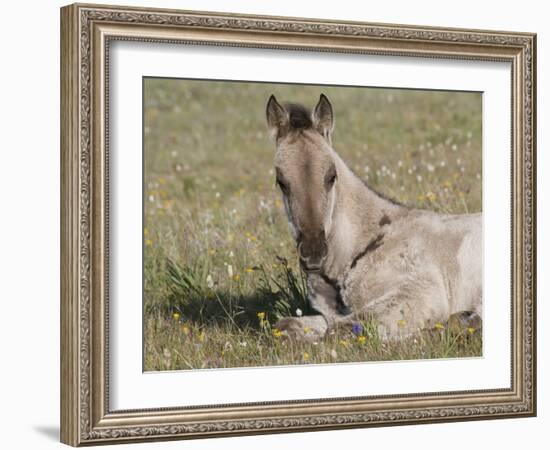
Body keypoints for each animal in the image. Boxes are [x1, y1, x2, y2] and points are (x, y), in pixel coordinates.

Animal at [268, 95, 484, 342]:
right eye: (281, 182)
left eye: (332, 176)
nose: (314, 254)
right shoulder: (330, 314)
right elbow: (286, 325)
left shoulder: (420, 291)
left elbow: (338, 331)